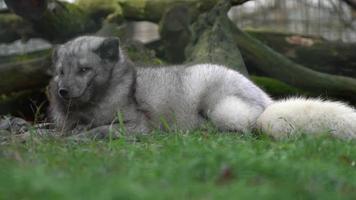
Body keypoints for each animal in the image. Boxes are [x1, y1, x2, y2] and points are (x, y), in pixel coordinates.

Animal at [48, 36, 356, 139]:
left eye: (84, 70)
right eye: (61, 72)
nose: (63, 91)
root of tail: (267, 101)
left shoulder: (137, 125)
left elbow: (98, 131)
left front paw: (78, 138)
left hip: (222, 110)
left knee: (248, 127)